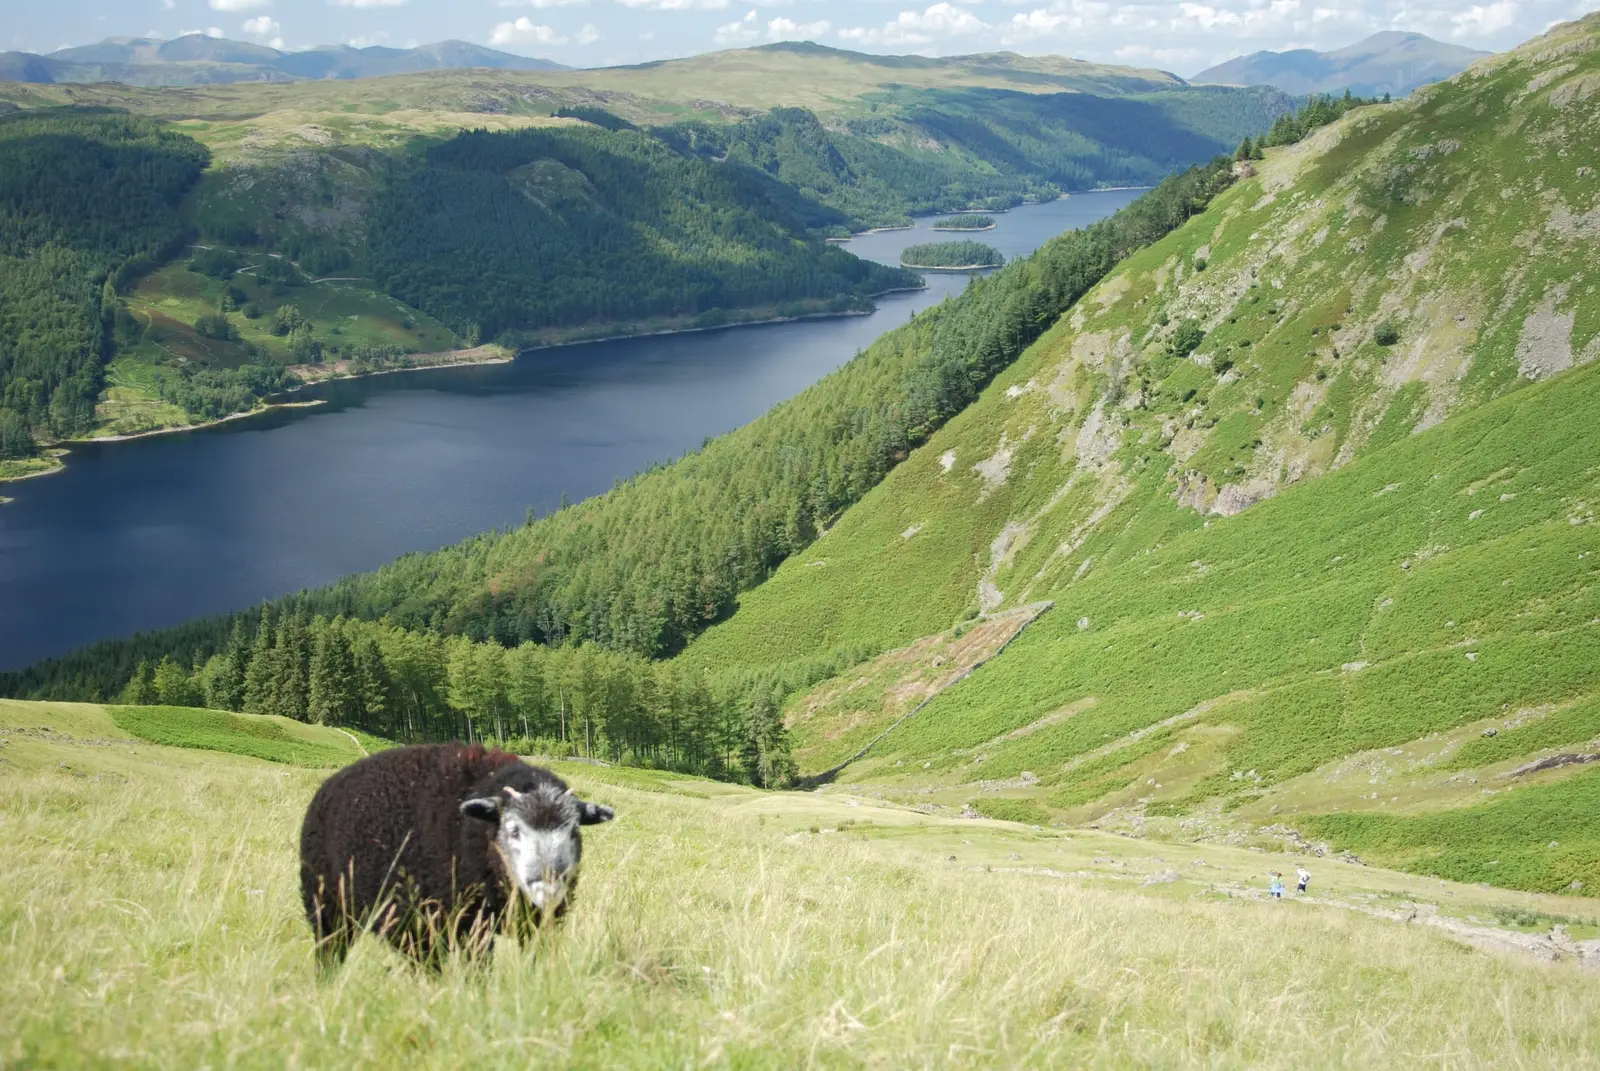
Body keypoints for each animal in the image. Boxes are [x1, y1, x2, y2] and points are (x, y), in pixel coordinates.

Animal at [298, 743, 614, 968]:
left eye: (573, 830)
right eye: (513, 830)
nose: (548, 887)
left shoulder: (536, 926)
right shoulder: (466, 925)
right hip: (327, 906)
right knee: (332, 950)